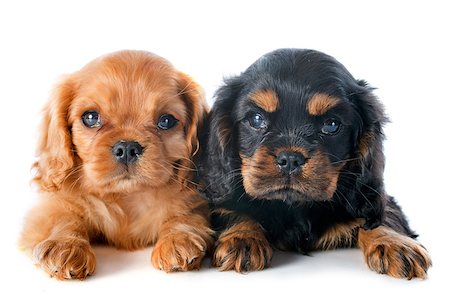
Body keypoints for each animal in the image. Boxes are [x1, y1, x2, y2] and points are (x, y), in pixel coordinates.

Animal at [19, 50, 213, 280]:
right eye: (90, 117)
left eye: (166, 121)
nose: (128, 148)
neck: (126, 196)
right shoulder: (50, 207)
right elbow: (63, 218)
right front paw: (65, 246)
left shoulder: (194, 203)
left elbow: (183, 216)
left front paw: (178, 241)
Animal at [200, 48, 432, 280]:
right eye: (256, 119)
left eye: (331, 125)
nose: (290, 159)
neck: (294, 205)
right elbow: (231, 210)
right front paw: (242, 238)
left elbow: (382, 216)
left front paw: (395, 244)